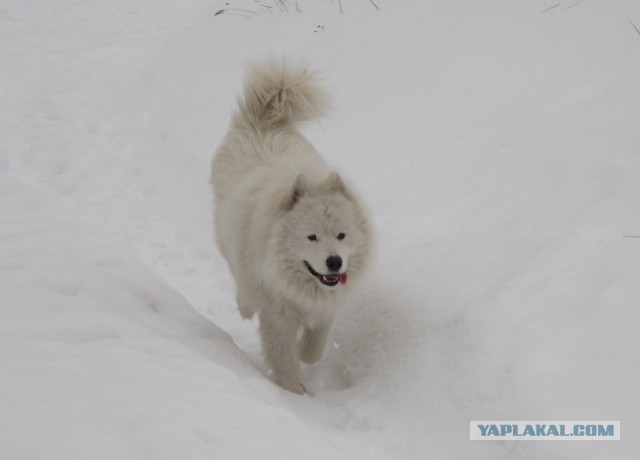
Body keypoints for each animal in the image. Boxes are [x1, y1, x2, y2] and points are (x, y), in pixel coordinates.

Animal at [210, 58, 372, 396]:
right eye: (311, 237)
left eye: (342, 235)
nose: (334, 262)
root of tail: (264, 121)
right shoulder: (277, 315)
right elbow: (283, 356)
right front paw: (294, 390)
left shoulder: (325, 306)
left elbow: (314, 347)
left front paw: (305, 354)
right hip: (229, 239)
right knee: (240, 279)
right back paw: (245, 306)